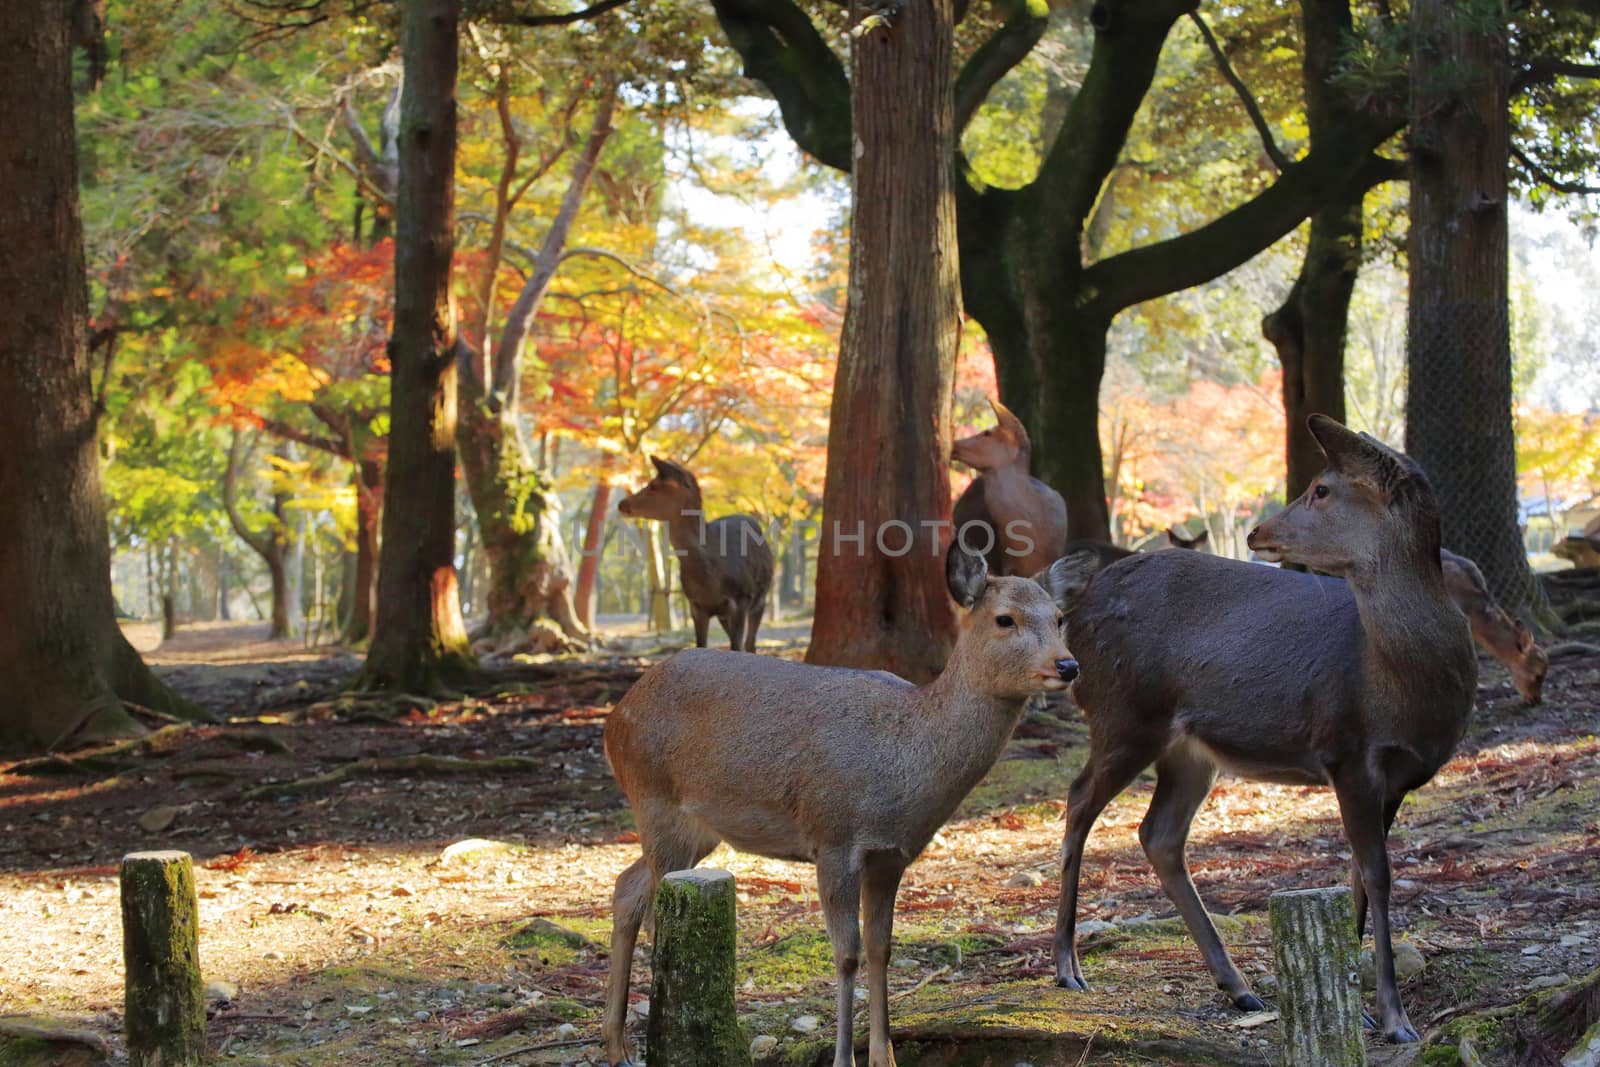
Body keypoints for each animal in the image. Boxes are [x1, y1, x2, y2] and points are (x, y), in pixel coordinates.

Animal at [601, 547, 1100, 1062]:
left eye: (1059, 617)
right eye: (1005, 619)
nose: (1067, 666)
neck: (902, 770)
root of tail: (614, 719)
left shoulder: (892, 855)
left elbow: (881, 947)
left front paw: (886, 1056)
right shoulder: (833, 838)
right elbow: (846, 954)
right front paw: (845, 1058)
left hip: (697, 830)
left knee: (626, 888)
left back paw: (618, 1047)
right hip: (654, 799)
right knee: (654, 914)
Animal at [611, 457, 774, 652]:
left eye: (653, 485)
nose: (622, 504)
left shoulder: (742, 599)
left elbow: (736, 646)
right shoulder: (696, 605)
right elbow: (701, 645)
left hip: (760, 599)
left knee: (750, 644)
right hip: (723, 614)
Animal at [1056, 415, 1478, 1043]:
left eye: (1322, 488)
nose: (1258, 532)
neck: (1398, 685)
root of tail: (1071, 620)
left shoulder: (1398, 776)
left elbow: (1358, 874)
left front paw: (1361, 1005)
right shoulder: (1347, 750)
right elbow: (1377, 874)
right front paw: (1395, 1017)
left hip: (1189, 750)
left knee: (1159, 833)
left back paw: (1239, 987)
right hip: (1124, 712)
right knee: (1080, 799)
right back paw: (1066, 965)